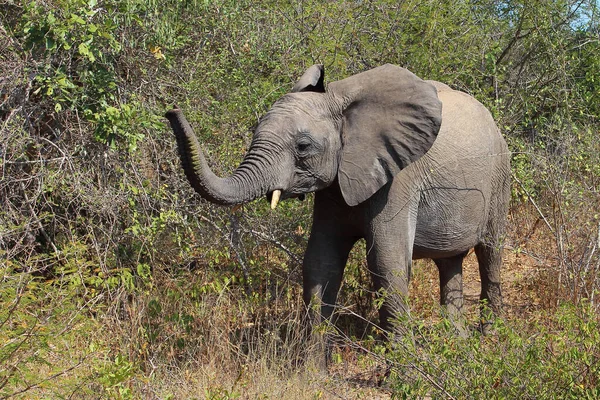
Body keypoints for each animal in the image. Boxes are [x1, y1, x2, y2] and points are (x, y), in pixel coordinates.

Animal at [165, 64, 510, 340]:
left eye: (303, 147)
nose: (171, 110)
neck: (340, 102)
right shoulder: (332, 187)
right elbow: (321, 262)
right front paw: (311, 373)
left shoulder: (399, 180)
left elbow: (386, 264)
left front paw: (403, 374)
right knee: (449, 261)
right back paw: (458, 343)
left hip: (500, 176)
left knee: (490, 253)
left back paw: (489, 339)